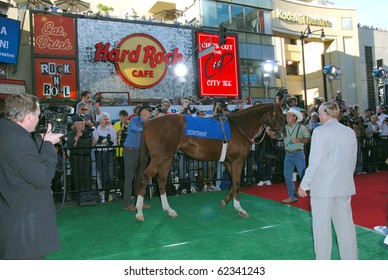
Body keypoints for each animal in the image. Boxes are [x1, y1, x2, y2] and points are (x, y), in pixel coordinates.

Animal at [133, 103, 284, 221]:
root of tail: (148, 123)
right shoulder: (237, 161)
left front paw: (224, 202)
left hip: (167, 158)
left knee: (161, 180)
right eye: (281, 115)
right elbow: (236, 183)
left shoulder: (229, 162)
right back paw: (139, 211)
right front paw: (240, 209)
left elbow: (234, 183)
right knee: (145, 177)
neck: (240, 127)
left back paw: (169, 209)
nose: (282, 133)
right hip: (159, 158)